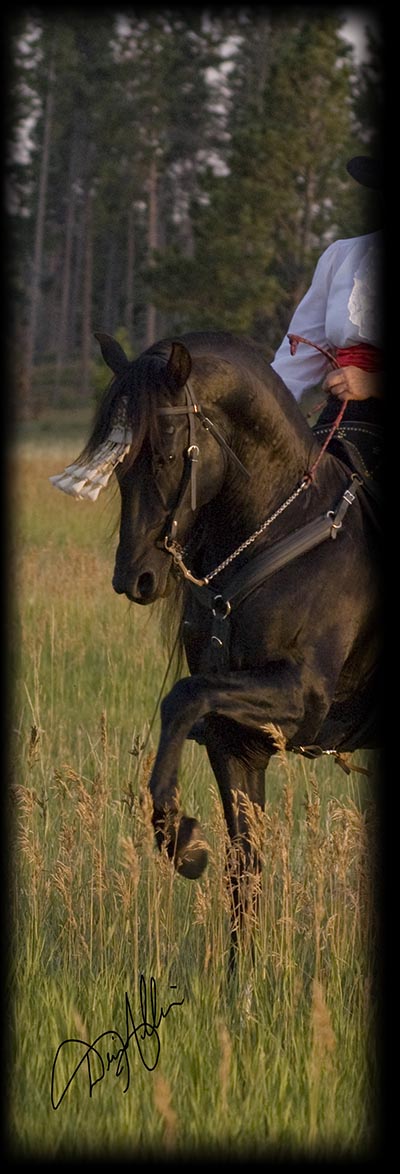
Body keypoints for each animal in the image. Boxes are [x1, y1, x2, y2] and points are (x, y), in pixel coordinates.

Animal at [52, 329, 381, 965]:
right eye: (119, 462)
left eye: (165, 452)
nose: (135, 578)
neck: (280, 531)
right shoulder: (239, 742)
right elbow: (243, 870)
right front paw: (240, 979)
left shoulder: (299, 697)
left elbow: (183, 697)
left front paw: (179, 834)